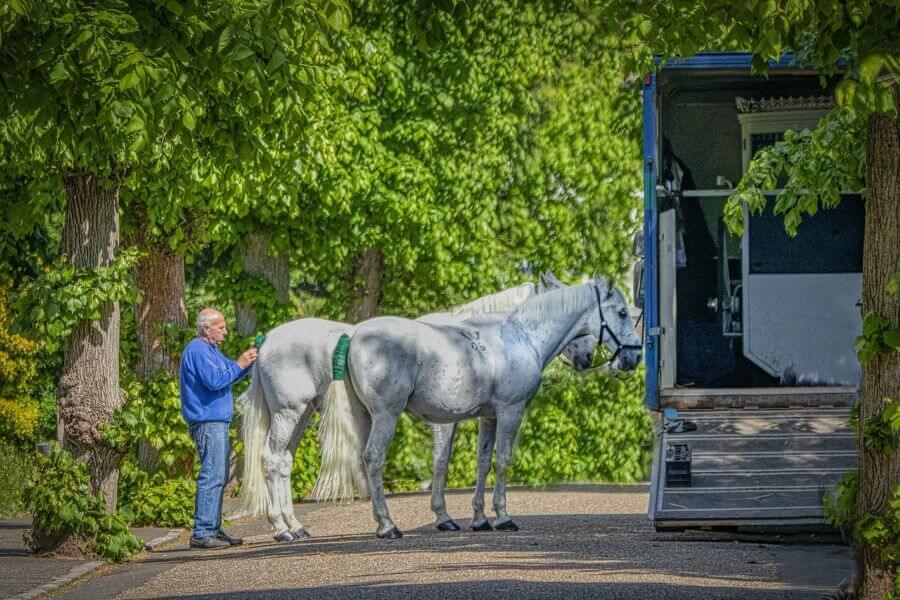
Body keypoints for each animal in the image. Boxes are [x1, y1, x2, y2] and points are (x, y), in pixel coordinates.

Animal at [316, 276, 640, 540]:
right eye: (622, 312)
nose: (633, 357)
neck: (520, 337)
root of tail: (355, 335)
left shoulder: (489, 417)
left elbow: (481, 463)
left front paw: (479, 519)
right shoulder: (510, 411)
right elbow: (502, 460)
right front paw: (503, 517)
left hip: (363, 416)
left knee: (363, 458)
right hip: (386, 415)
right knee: (374, 457)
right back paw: (387, 525)